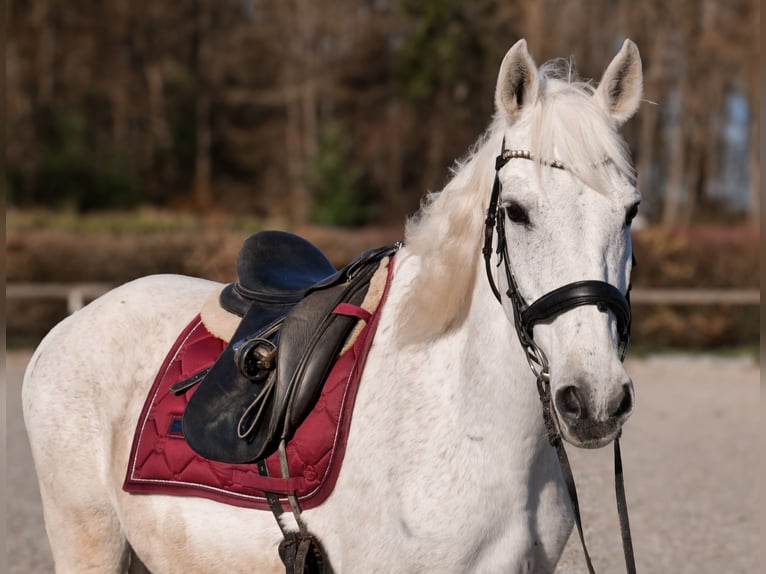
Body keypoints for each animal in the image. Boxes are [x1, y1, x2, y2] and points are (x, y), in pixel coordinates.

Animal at [23, 38, 643, 574]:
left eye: (631, 211)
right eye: (515, 211)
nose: (596, 400)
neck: (467, 423)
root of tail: (65, 328)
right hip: (88, 538)